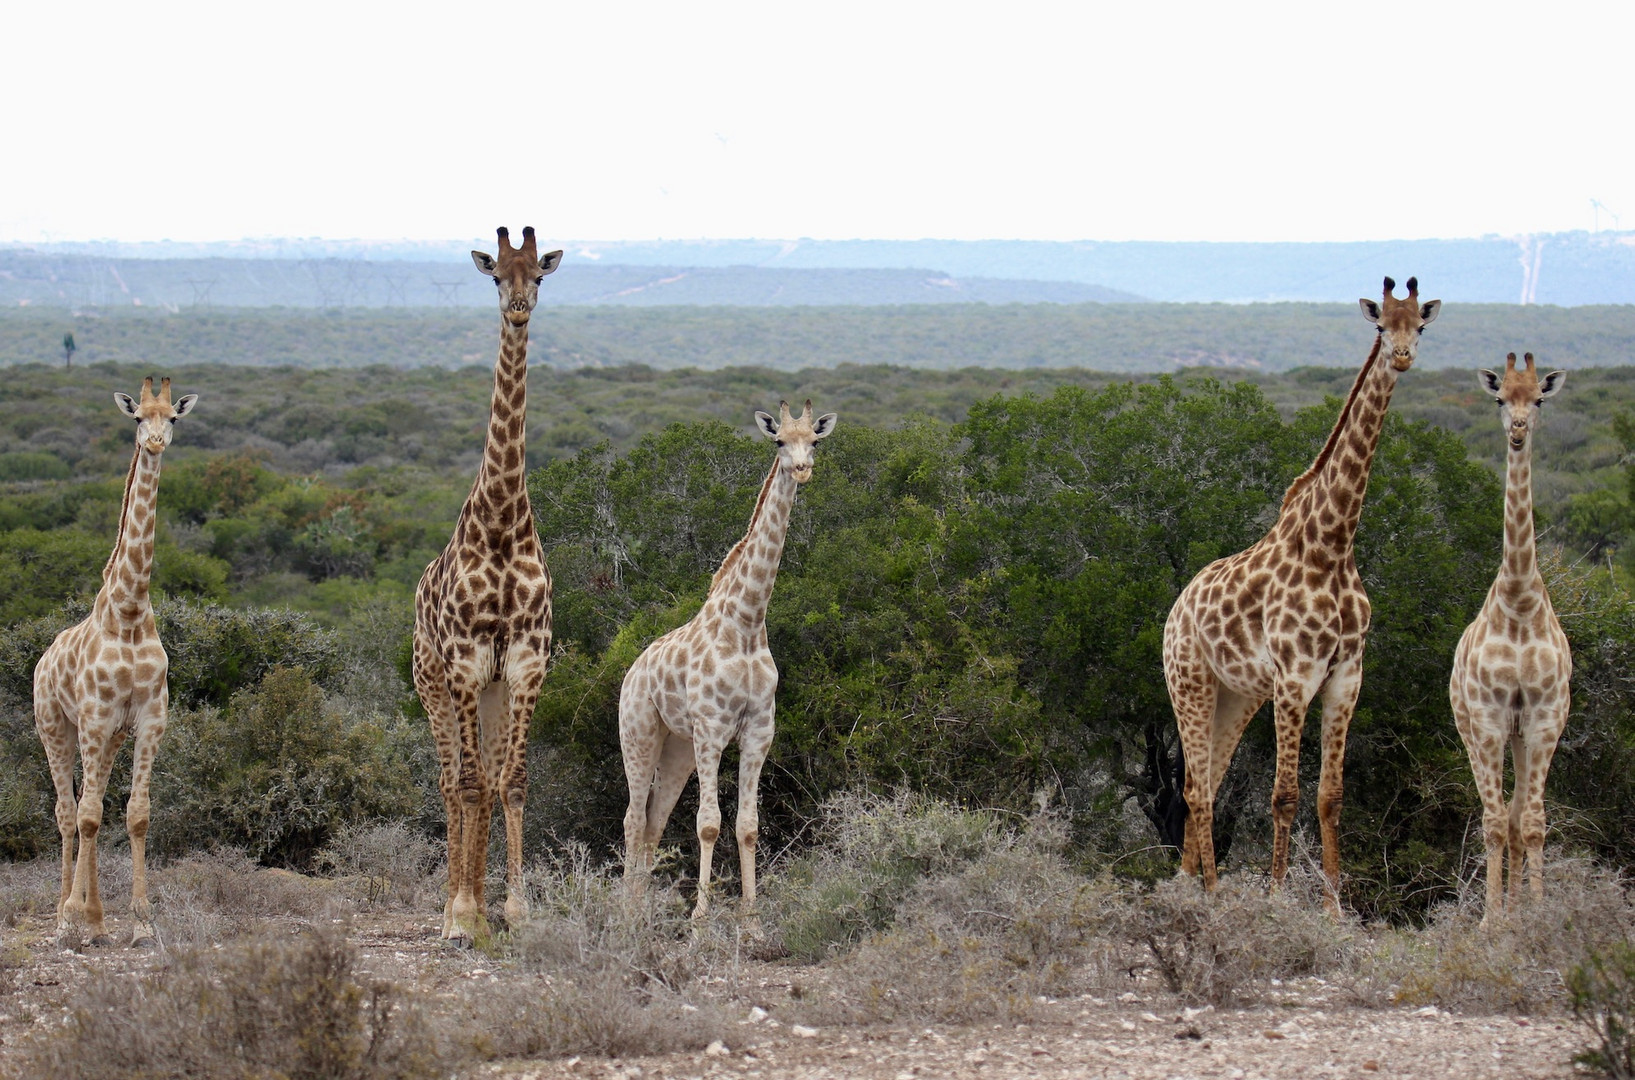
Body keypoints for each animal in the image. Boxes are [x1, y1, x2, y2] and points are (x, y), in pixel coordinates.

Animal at [33, 372, 197, 941]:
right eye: (138, 417)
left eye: (172, 417)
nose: (156, 442)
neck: (127, 611)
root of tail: (41, 660)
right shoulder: (95, 716)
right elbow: (86, 815)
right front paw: (77, 918)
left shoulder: (149, 717)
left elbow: (135, 813)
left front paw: (140, 919)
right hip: (56, 726)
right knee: (67, 811)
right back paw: (66, 910)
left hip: (105, 737)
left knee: (93, 804)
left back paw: (94, 912)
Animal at [618, 395, 837, 921]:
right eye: (779, 441)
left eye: (815, 441)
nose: (802, 469)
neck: (746, 624)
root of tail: (630, 673)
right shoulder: (714, 729)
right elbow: (708, 823)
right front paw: (700, 919)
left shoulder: (759, 729)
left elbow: (747, 825)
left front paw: (752, 921)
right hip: (639, 732)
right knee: (632, 818)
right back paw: (625, 914)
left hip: (678, 747)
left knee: (653, 821)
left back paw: (642, 910)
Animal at [1164, 274, 1445, 908]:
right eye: (1380, 324)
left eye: (1420, 323)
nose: (1402, 356)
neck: (1332, 544)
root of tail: (1176, 608)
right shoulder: (1295, 676)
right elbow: (1284, 795)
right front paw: (1274, 900)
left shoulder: (1346, 676)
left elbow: (1330, 797)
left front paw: (1335, 909)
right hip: (1188, 682)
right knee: (1195, 790)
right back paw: (1211, 893)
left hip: (1236, 697)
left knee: (1207, 783)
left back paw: (1190, 885)